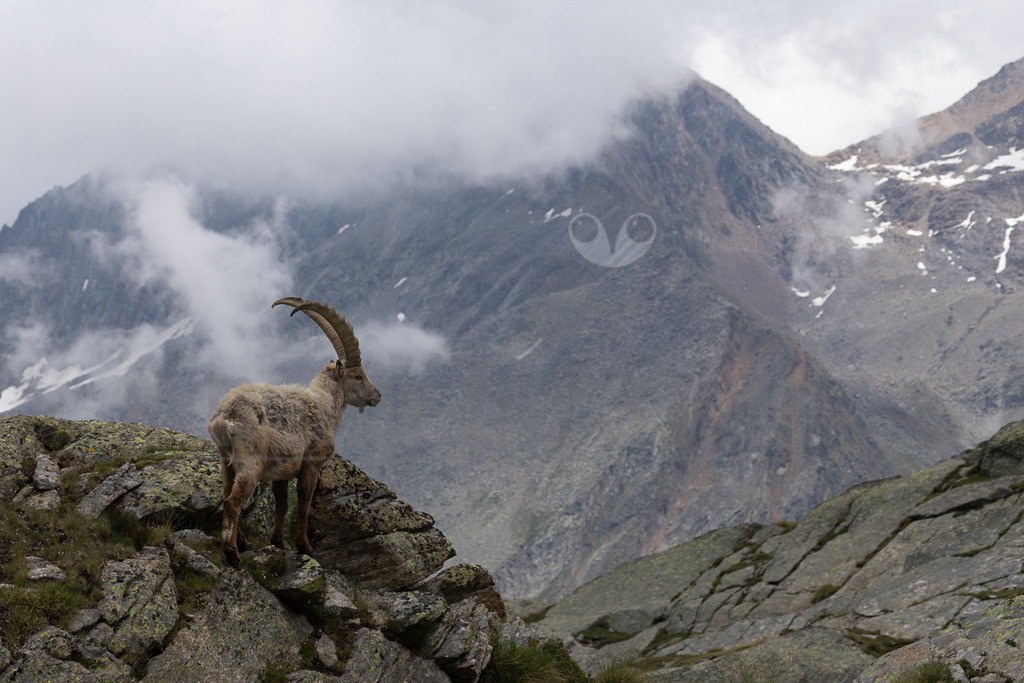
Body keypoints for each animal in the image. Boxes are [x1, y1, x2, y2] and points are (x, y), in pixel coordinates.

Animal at [207, 297, 381, 568]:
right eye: (358, 376)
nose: (377, 396)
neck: (323, 404)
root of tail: (226, 415)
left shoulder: (281, 472)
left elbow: (282, 504)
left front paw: (278, 542)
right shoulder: (311, 464)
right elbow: (303, 504)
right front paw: (305, 547)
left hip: (226, 461)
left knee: (226, 495)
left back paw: (242, 543)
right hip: (250, 462)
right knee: (233, 502)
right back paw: (232, 553)